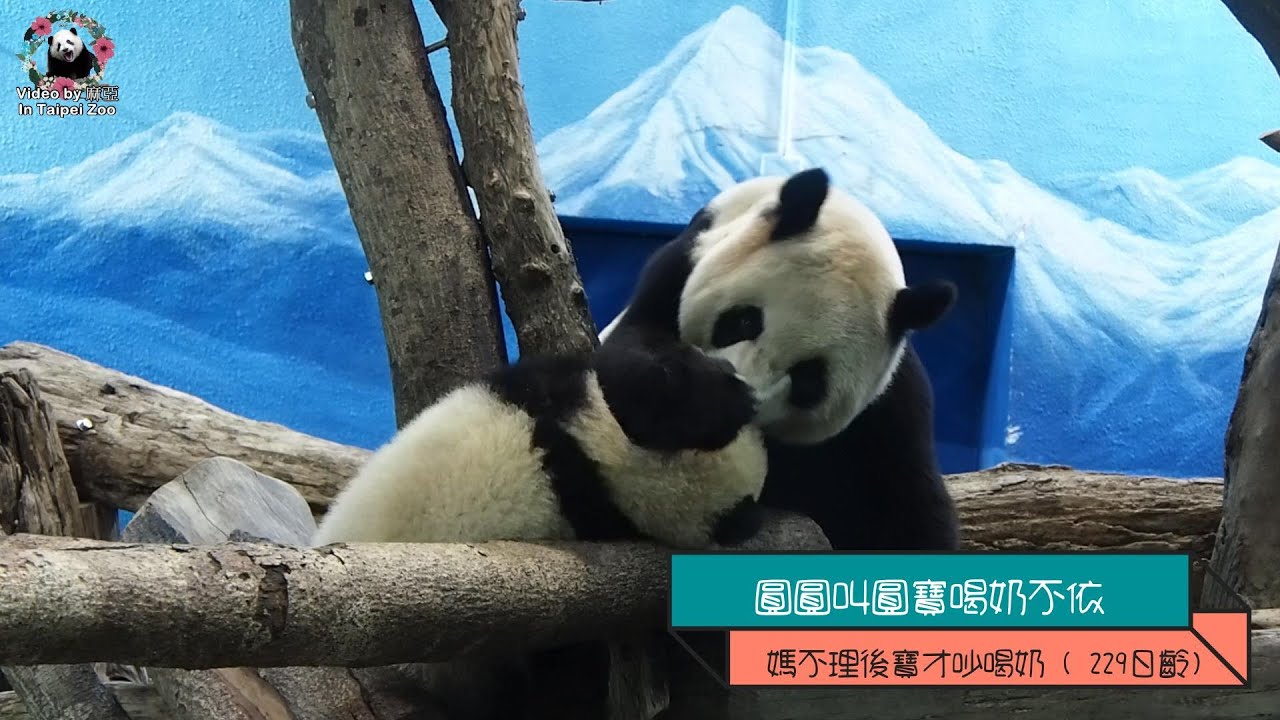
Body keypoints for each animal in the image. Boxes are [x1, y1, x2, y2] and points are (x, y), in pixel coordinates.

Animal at [600, 167, 961, 552]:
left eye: (808, 380)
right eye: (744, 321)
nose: (745, 392)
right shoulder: (675, 274)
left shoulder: (887, 414)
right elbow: (628, 360)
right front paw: (711, 399)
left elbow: (907, 511)